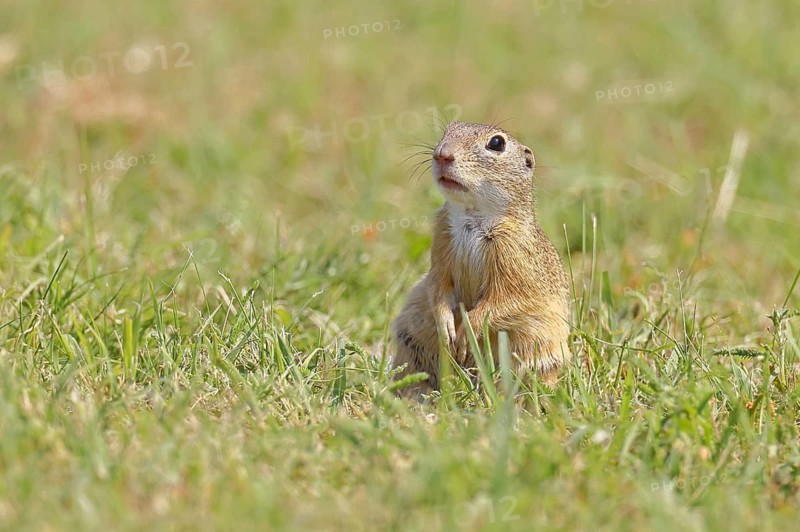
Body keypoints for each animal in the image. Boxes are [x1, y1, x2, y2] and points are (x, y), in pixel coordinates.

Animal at [392, 121, 572, 395]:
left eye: (496, 143)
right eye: (448, 129)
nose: (442, 154)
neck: (472, 216)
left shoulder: (513, 255)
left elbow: (502, 301)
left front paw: (467, 331)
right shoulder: (441, 240)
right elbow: (438, 286)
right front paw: (446, 327)